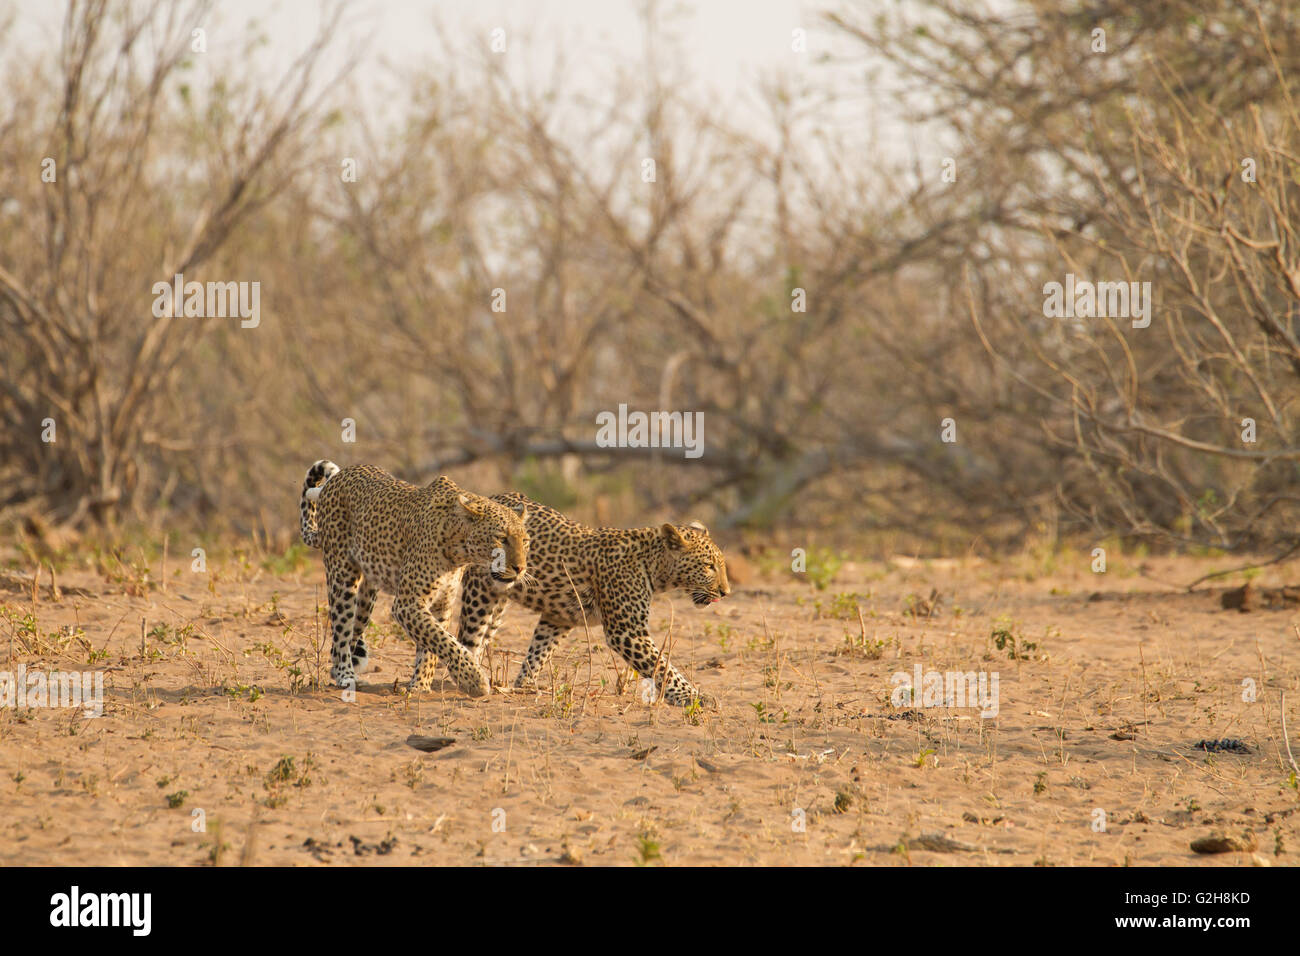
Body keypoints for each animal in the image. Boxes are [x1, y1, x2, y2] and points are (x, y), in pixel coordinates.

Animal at [299, 460, 527, 697]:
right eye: (501, 538)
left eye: (525, 540)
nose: (520, 568)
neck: (458, 550)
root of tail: (338, 477)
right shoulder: (407, 603)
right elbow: (442, 640)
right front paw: (474, 680)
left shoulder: (441, 605)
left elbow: (432, 646)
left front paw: (421, 685)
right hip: (342, 577)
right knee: (341, 632)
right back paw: (346, 676)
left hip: (366, 598)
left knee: (351, 632)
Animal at [454, 496, 733, 707]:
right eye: (708, 566)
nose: (726, 591)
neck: (655, 567)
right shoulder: (627, 631)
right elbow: (663, 667)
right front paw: (693, 697)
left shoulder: (558, 618)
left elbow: (538, 654)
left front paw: (526, 686)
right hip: (480, 595)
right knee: (469, 638)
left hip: (499, 603)